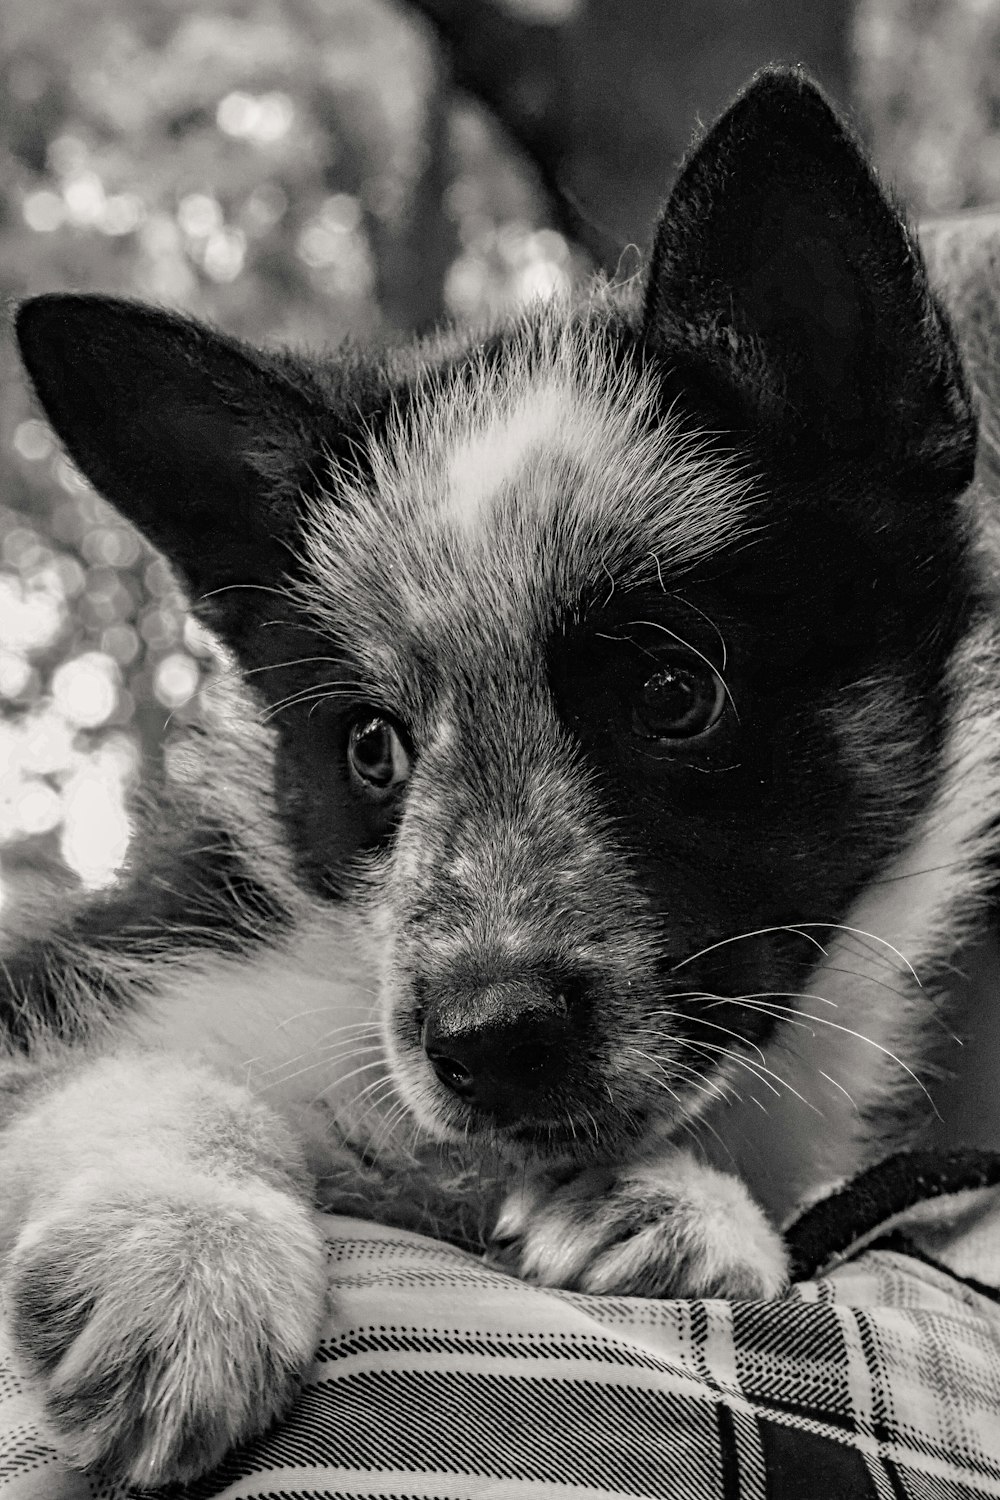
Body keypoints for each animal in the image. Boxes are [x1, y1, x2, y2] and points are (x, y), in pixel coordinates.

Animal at [5, 64, 1000, 1482]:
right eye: (372, 748)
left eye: (673, 694)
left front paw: (679, 1201)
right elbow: (139, 1068)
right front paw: (178, 1258)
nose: (488, 1045)